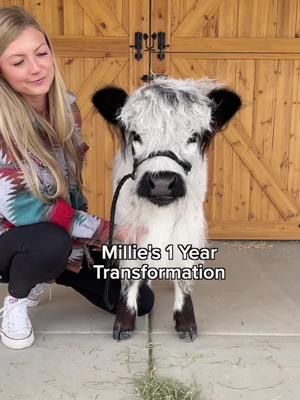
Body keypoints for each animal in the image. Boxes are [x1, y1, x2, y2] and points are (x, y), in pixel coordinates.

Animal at [91, 77, 241, 340]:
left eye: (193, 136)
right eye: (136, 134)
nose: (161, 182)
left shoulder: (189, 226)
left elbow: (183, 271)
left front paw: (186, 323)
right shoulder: (128, 227)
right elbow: (130, 273)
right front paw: (124, 322)